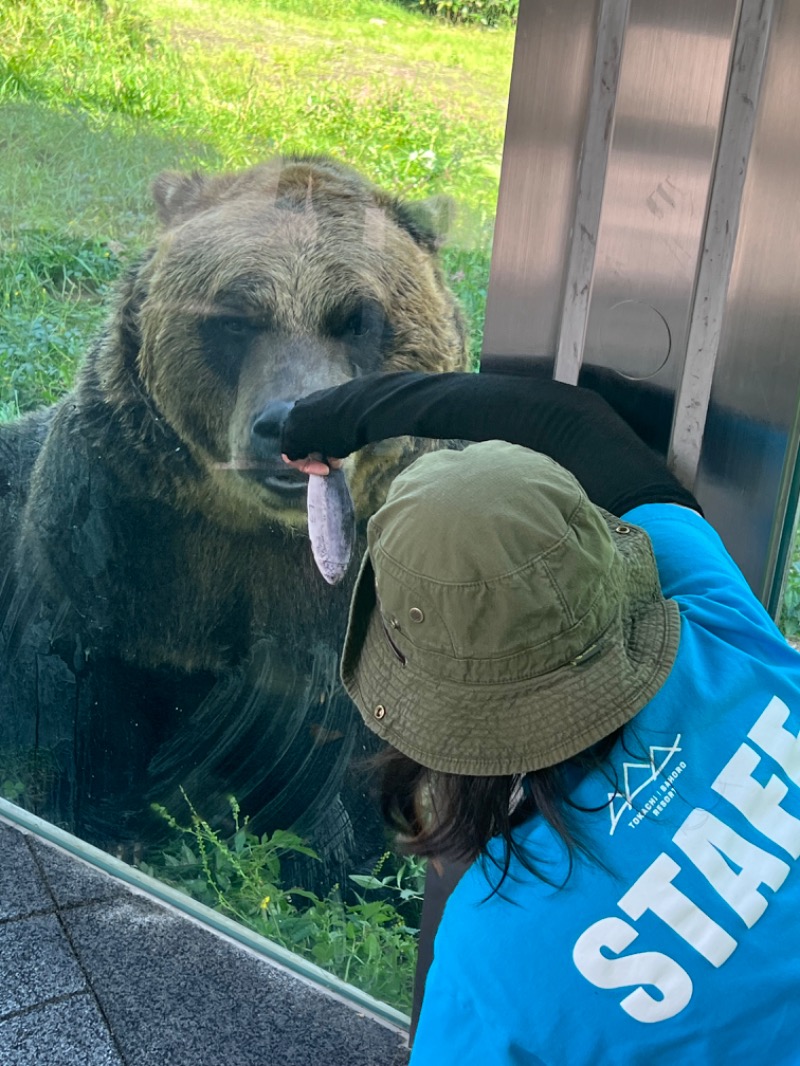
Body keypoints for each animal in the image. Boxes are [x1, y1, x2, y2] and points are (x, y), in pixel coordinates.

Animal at [0, 154, 469, 878]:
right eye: (236, 317)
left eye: (359, 318)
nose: (291, 424)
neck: (260, 530)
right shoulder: (120, 523)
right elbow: (85, 690)